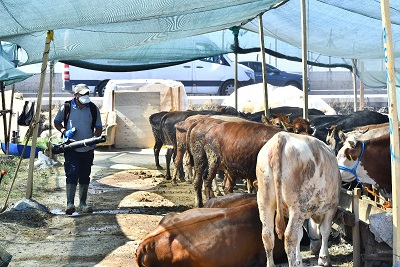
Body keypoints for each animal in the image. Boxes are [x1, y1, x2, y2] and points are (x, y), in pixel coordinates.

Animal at [256, 132, 340, 267]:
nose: (313, 249)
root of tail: (281, 136)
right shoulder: (331, 207)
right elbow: (325, 231)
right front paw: (324, 258)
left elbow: (300, 235)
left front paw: (299, 260)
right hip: (297, 206)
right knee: (289, 237)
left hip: (265, 202)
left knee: (267, 235)